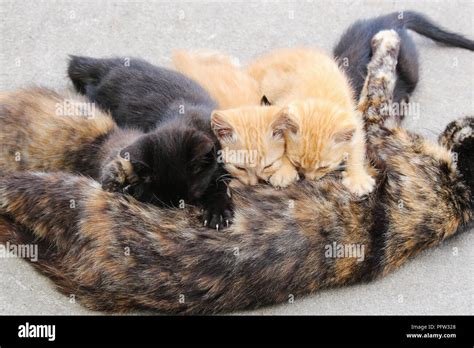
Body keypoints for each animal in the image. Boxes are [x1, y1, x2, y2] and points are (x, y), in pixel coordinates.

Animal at [68, 55, 233, 230]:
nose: (182, 210)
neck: (183, 117)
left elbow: (220, 184)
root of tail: (108, 65)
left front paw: (217, 211)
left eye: (193, 197)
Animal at [246, 48, 376, 196]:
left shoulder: (354, 120)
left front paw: (358, 178)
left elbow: (357, 149)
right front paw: (284, 173)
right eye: (297, 163)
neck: (319, 98)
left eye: (323, 167)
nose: (308, 179)